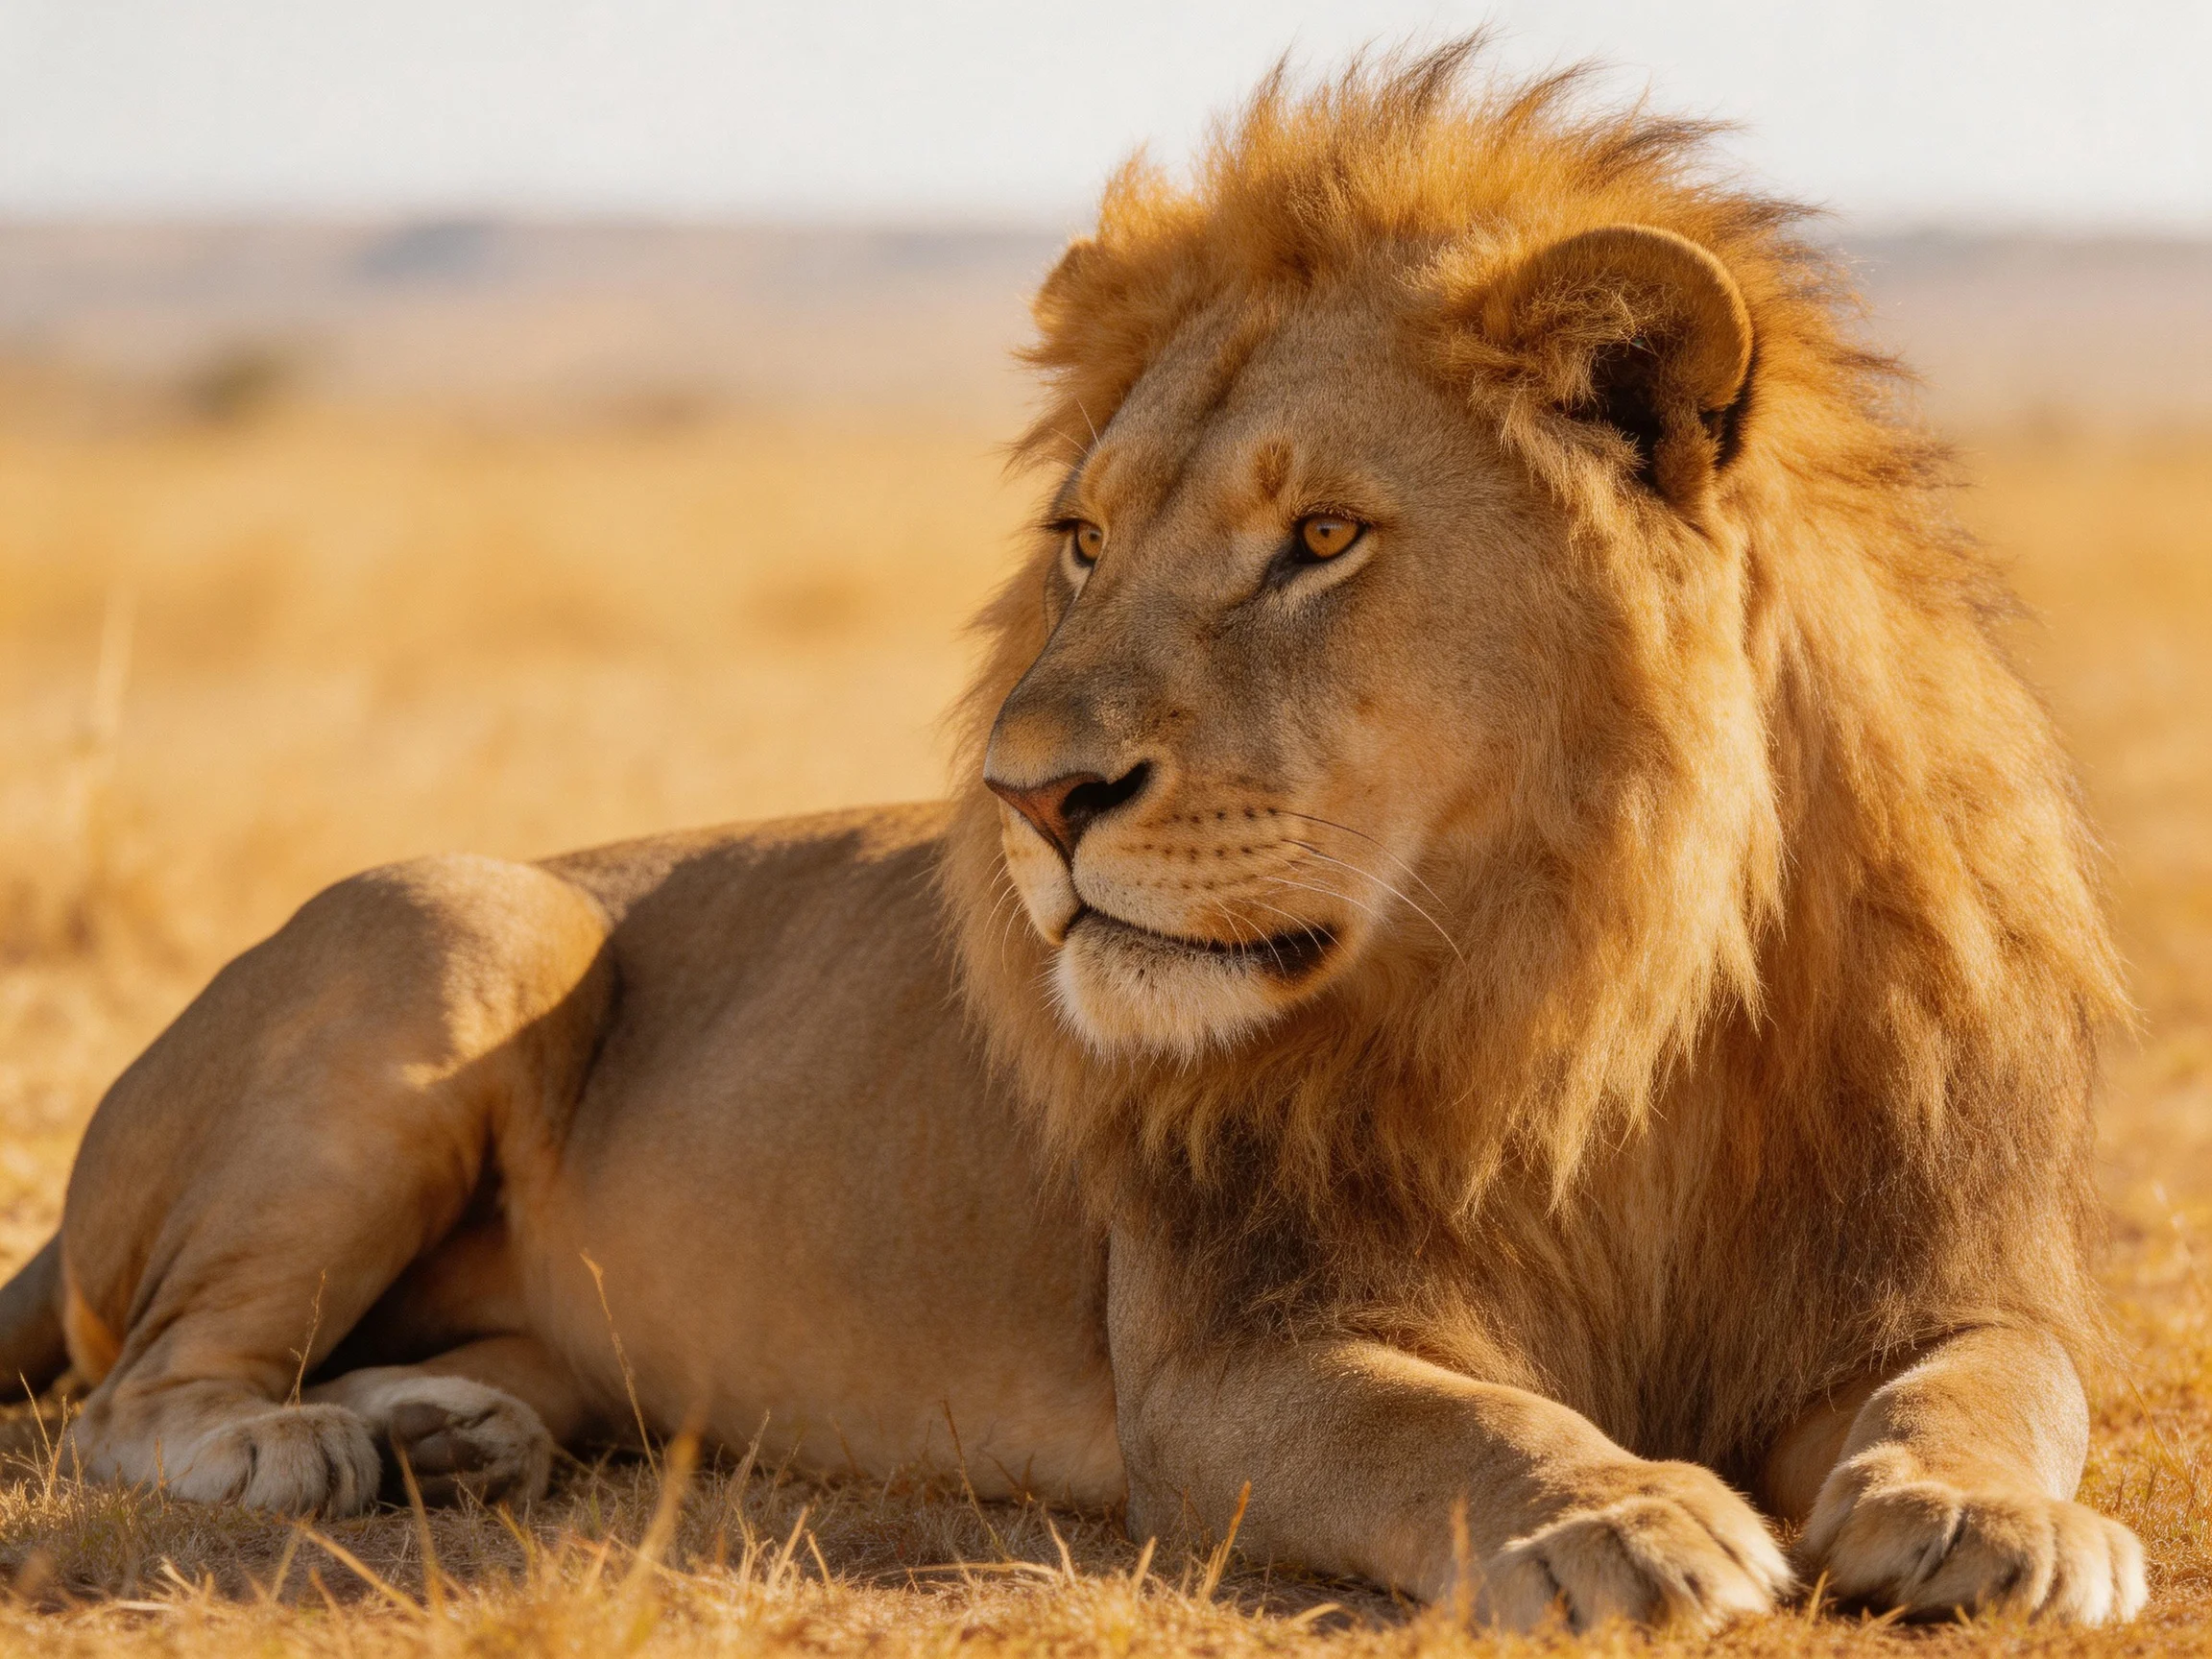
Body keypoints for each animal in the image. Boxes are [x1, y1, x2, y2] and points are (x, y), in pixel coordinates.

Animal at [0, 43, 2147, 1630]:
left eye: (1319, 537)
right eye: (1086, 544)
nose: (1027, 798)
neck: (1592, 991)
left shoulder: (1936, 1266)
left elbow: (2000, 1381)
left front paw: (2000, 1524)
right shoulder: (1234, 1361)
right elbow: (1461, 1429)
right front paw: (1622, 1517)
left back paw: (444, 1429)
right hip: (457, 916)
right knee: (136, 1388)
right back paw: (308, 1449)